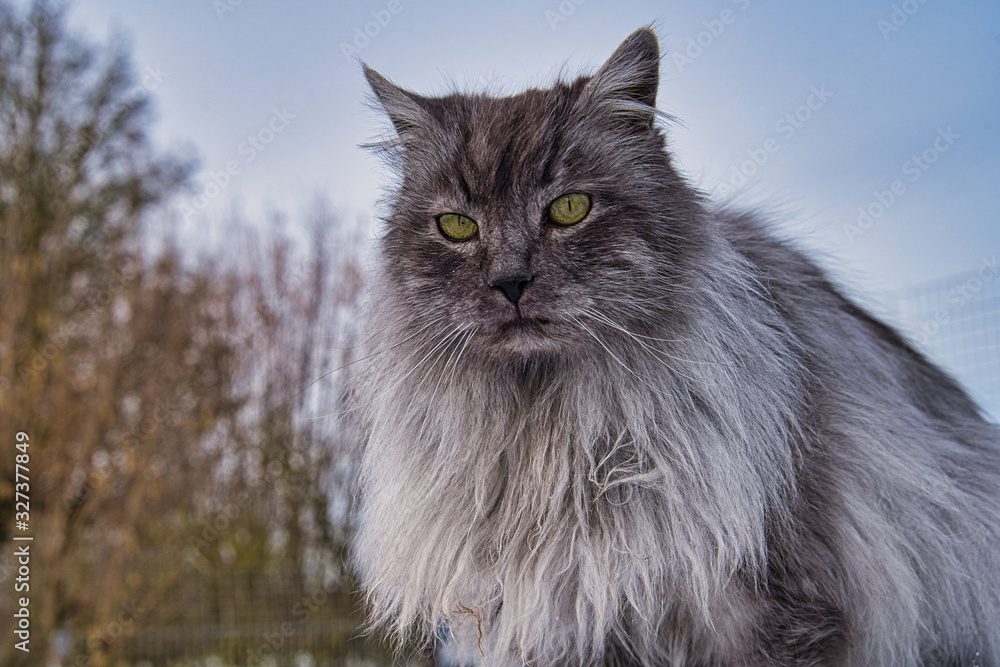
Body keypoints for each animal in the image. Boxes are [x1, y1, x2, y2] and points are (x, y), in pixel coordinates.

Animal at [350, 26, 1000, 667]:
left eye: (569, 209)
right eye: (457, 227)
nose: (510, 283)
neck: (552, 437)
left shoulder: (773, 609)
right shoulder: (572, 621)